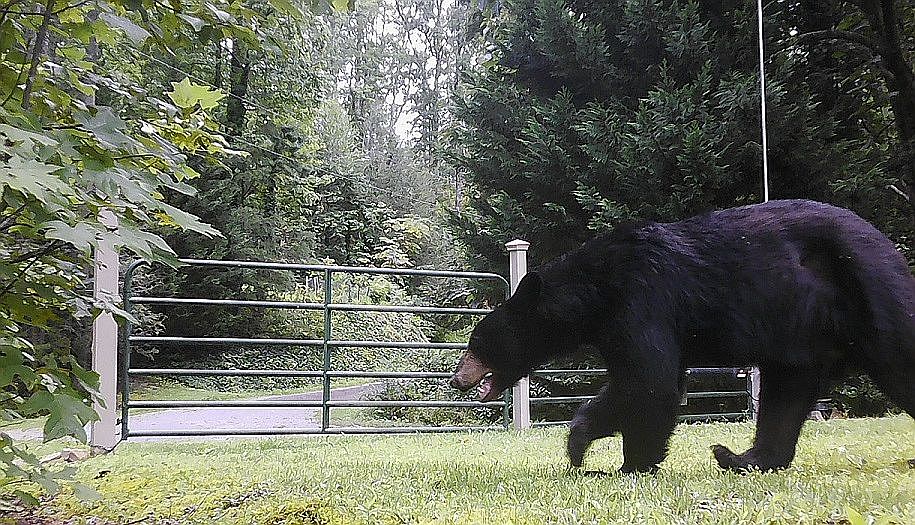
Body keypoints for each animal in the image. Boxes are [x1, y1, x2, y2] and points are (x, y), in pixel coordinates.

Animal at [449, 199, 915, 473]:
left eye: (476, 344)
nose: (456, 379)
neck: (595, 292)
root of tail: (885, 242)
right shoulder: (616, 324)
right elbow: (633, 383)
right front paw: (581, 446)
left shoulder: (643, 299)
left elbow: (649, 384)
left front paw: (631, 465)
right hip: (799, 336)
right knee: (786, 396)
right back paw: (739, 457)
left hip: (867, 292)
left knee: (898, 357)